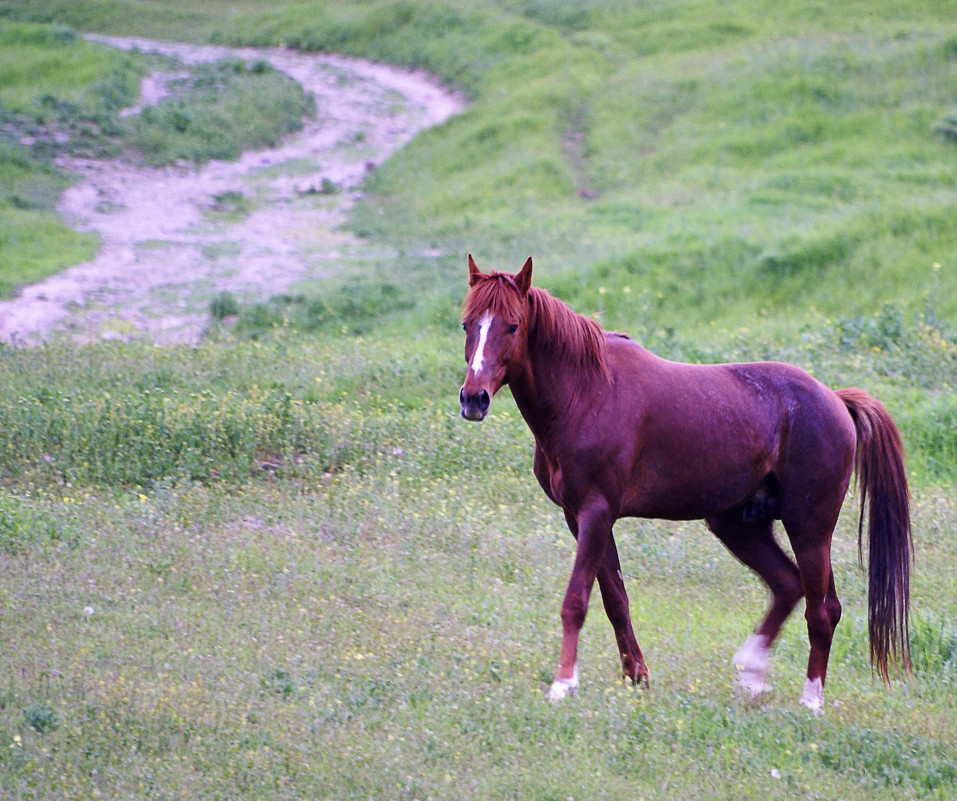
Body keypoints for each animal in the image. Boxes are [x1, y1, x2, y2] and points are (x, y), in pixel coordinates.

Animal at [458, 253, 912, 708]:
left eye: (513, 326)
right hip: (740, 525)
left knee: (822, 610)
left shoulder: (595, 513)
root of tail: (836, 399)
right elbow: (615, 598)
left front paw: (563, 682)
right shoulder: (581, 517)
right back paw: (752, 672)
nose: (473, 399)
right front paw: (636, 675)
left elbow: (576, 600)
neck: (586, 391)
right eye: (467, 324)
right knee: (788, 586)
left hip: (809, 528)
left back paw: (810, 701)